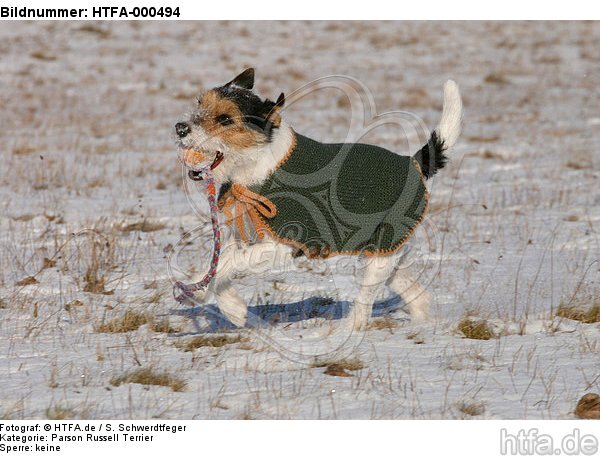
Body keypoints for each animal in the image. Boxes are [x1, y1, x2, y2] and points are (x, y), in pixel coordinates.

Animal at [175, 67, 464, 330]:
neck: (258, 166)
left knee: (366, 301)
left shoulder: (282, 245)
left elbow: (228, 264)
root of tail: (412, 164)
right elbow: (217, 266)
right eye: (200, 103)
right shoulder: (242, 238)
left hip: (383, 247)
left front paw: (223, 305)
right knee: (412, 289)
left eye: (225, 118)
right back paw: (421, 322)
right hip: (383, 250)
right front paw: (223, 304)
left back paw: (347, 328)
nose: (180, 127)